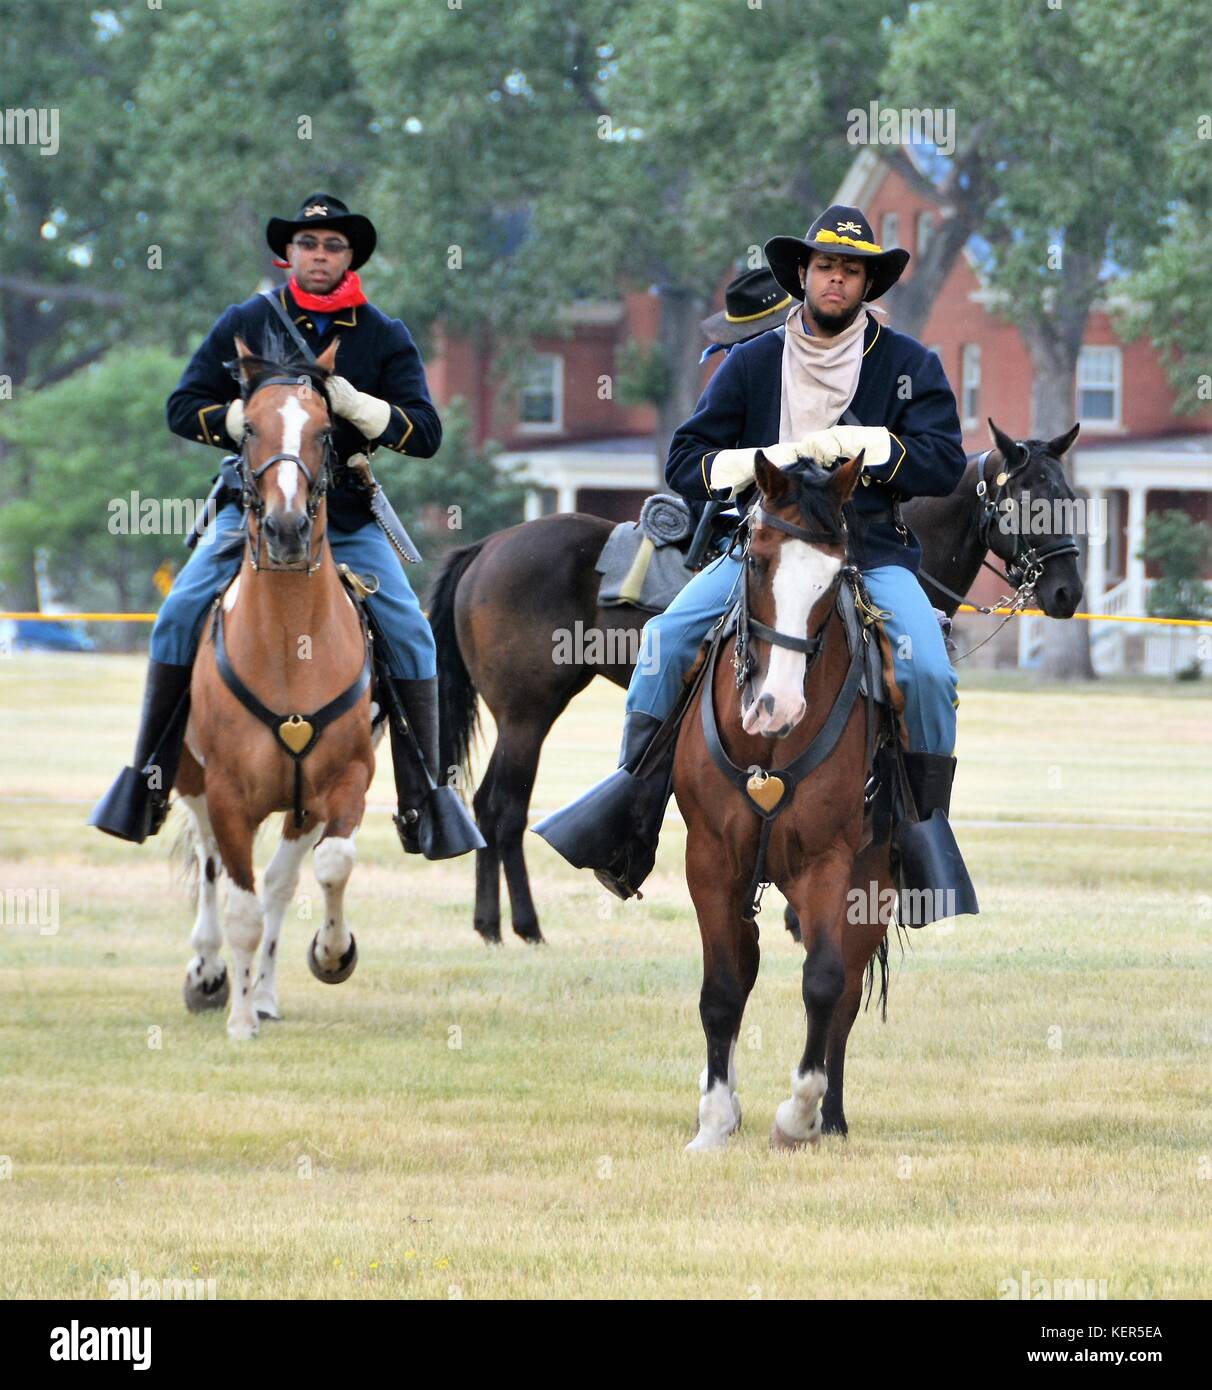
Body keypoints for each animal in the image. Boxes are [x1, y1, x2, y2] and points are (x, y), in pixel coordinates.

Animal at [179, 333, 375, 1034]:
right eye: (251, 428)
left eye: (324, 431)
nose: (287, 531)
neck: (293, 644)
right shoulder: (228, 794)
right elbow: (238, 904)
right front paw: (238, 1021)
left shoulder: (345, 782)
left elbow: (330, 865)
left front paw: (333, 952)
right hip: (191, 780)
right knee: (213, 868)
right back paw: (211, 975)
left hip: (298, 809)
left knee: (280, 882)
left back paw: (261, 992)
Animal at [672, 453, 872, 1150]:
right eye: (755, 560)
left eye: (835, 576)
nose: (776, 707)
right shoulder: (710, 860)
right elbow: (721, 989)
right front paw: (712, 1120)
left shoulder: (830, 862)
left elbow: (825, 983)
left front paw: (799, 1114)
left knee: (845, 991)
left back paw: (830, 1117)